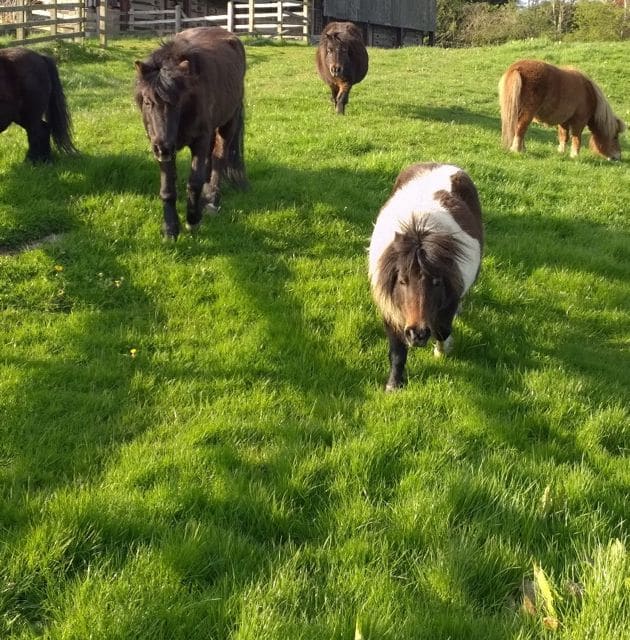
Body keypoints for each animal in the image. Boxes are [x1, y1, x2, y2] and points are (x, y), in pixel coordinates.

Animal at [135, 27, 247, 240]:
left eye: (178, 102)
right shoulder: (163, 148)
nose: (162, 147)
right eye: (147, 102)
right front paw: (170, 228)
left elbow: (194, 182)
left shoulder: (199, 140)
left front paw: (192, 220)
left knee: (219, 157)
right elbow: (167, 188)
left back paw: (211, 199)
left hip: (228, 122)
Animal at [368, 163, 484, 391]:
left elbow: (442, 330)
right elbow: (397, 352)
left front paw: (441, 351)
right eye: (402, 280)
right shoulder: (389, 309)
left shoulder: (450, 298)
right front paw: (393, 385)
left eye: (437, 281)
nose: (418, 333)